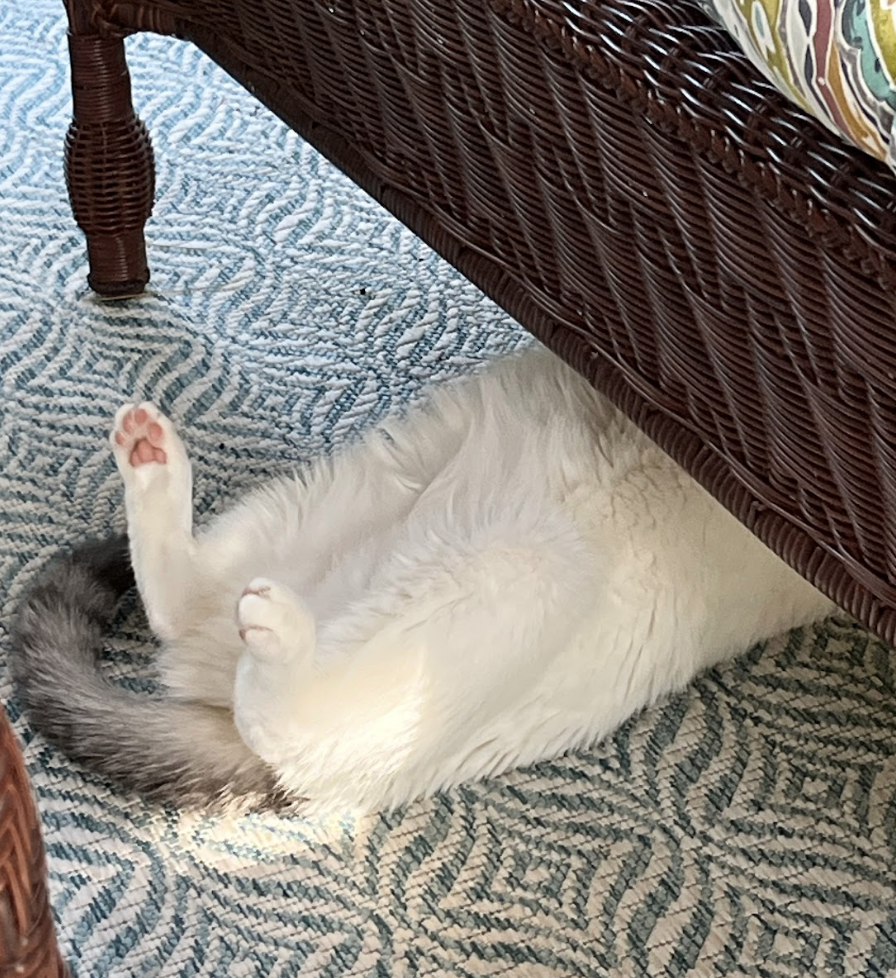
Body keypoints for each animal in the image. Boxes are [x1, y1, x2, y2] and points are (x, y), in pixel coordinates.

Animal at [12, 344, 832, 808]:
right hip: (353, 486)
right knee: (187, 606)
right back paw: (153, 462)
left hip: (507, 577)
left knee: (271, 709)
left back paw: (270, 627)